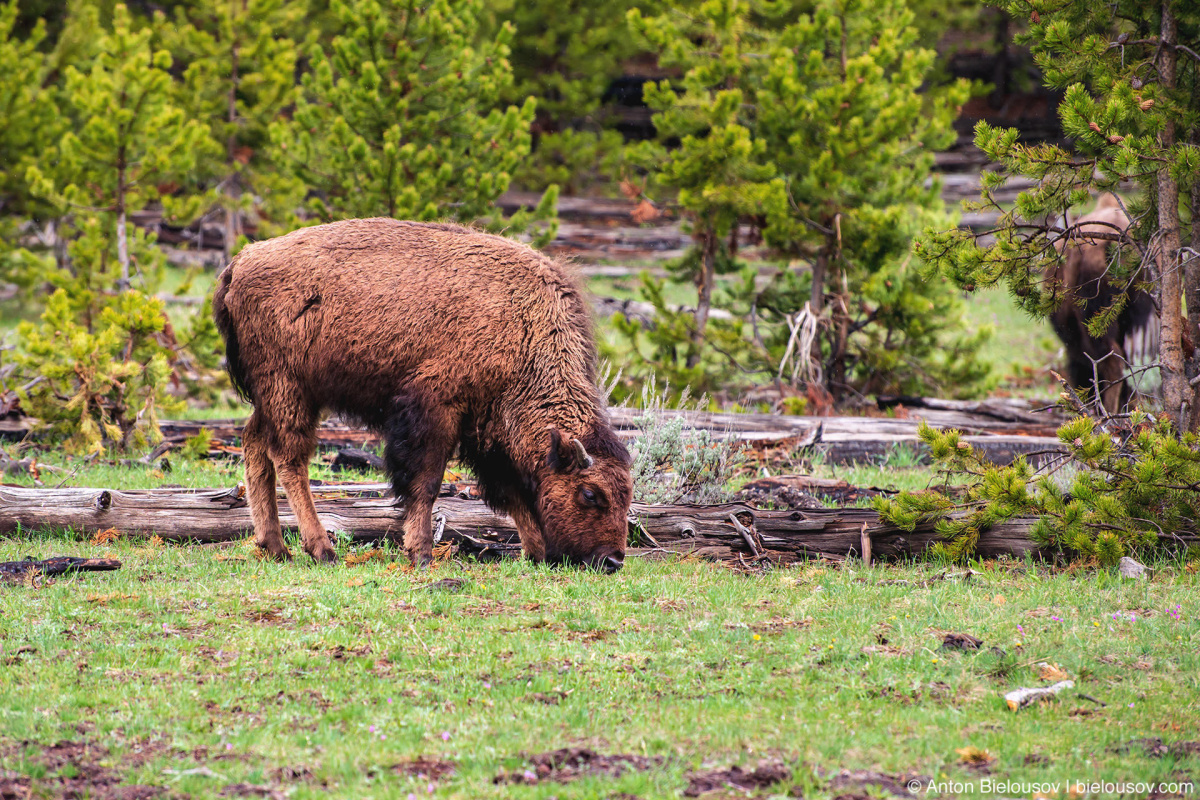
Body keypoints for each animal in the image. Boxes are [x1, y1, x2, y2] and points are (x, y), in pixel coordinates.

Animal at [211, 215, 633, 573]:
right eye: (590, 494)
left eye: (627, 495)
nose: (612, 560)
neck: (526, 328)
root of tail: (240, 263)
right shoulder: (436, 408)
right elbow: (426, 483)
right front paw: (422, 553)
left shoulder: (486, 427)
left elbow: (507, 489)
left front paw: (537, 551)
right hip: (289, 387)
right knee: (288, 457)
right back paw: (322, 550)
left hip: (276, 394)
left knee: (254, 442)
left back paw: (274, 546)